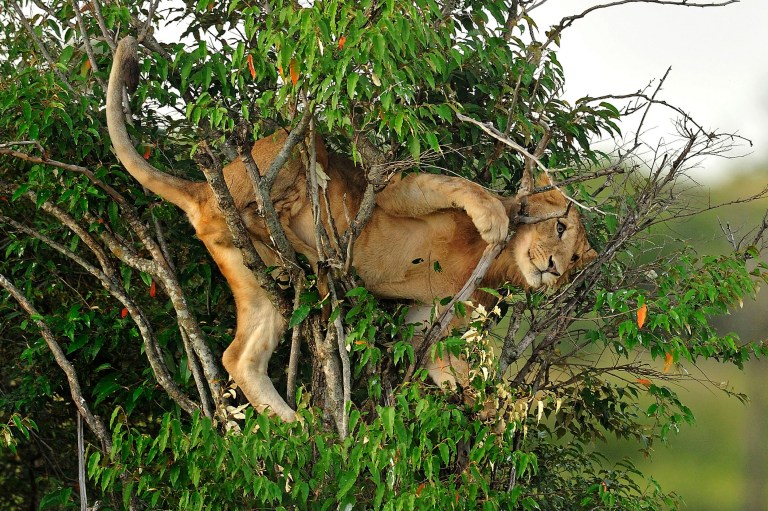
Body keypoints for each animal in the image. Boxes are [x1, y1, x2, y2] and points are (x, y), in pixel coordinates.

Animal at [106, 37, 592, 424]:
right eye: (560, 226)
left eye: (574, 264)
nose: (554, 268)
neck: (495, 266)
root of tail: (204, 191)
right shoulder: (396, 189)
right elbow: (465, 187)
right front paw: (496, 220)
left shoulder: (434, 318)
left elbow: (449, 365)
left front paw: (498, 415)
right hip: (300, 151)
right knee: (274, 198)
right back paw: (311, 248)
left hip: (256, 276)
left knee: (238, 356)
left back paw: (294, 429)